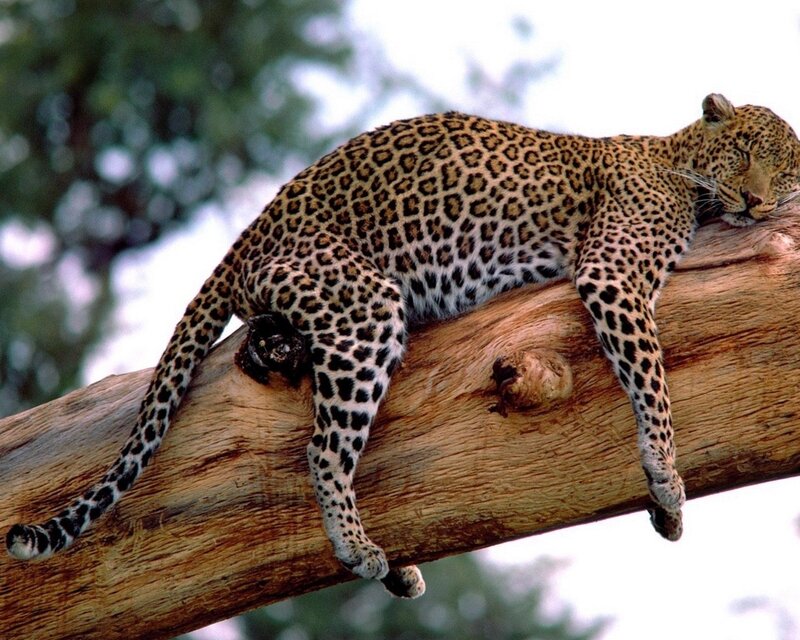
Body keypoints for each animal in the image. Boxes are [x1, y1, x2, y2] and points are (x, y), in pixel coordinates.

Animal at [7, 93, 800, 599]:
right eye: (742, 153)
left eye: (786, 171)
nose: (758, 201)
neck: (678, 158)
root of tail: (250, 231)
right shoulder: (611, 273)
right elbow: (653, 378)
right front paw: (666, 477)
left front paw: (663, 499)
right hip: (364, 306)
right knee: (323, 448)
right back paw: (359, 549)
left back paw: (392, 565)